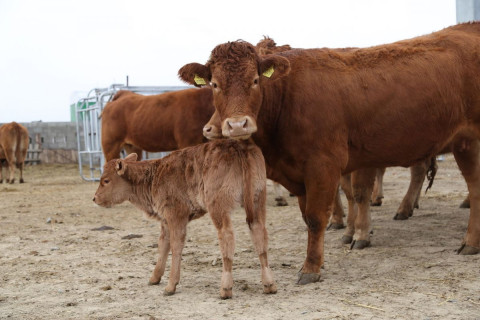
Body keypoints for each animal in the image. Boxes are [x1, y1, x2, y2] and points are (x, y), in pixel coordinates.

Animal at [93, 139, 278, 298]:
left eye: (106, 180)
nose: (95, 198)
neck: (153, 175)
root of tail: (237, 145)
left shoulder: (176, 216)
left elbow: (176, 246)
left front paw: (170, 286)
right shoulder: (165, 221)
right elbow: (163, 245)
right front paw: (154, 278)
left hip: (219, 207)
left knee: (227, 236)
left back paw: (225, 288)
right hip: (257, 200)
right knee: (259, 232)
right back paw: (269, 285)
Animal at [178, 23, 480, 284]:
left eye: (255, 80)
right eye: (214, 85)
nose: (237, 125)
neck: (287, 97)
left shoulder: (324, 165)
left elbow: (318, 216)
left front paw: (311, 267)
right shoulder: (300, 174)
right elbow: (319, 212)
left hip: (468, 143)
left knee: (473, 189)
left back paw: (468, 241)